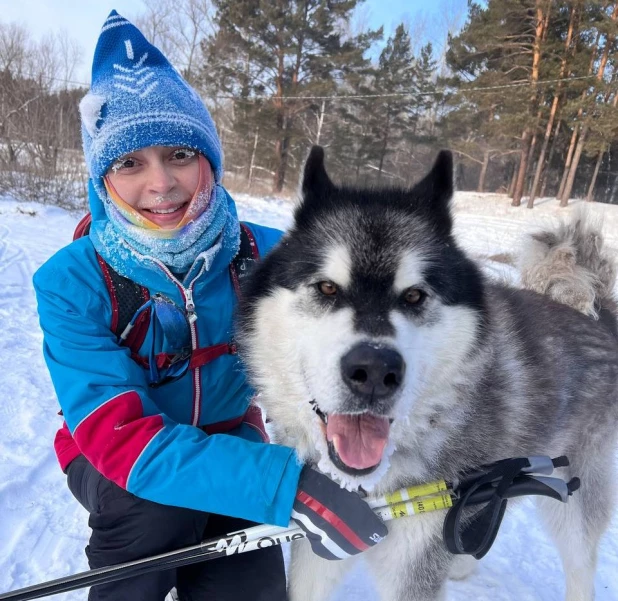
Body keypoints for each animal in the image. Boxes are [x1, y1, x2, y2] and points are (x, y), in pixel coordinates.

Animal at [236, 146, 616, 600]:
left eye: (415, 295)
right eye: (327, 288)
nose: (374, 370)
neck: (372, 490)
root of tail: (596, 313)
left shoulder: (414, 566)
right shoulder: (319, 543)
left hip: (573, 502)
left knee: (579, 565)